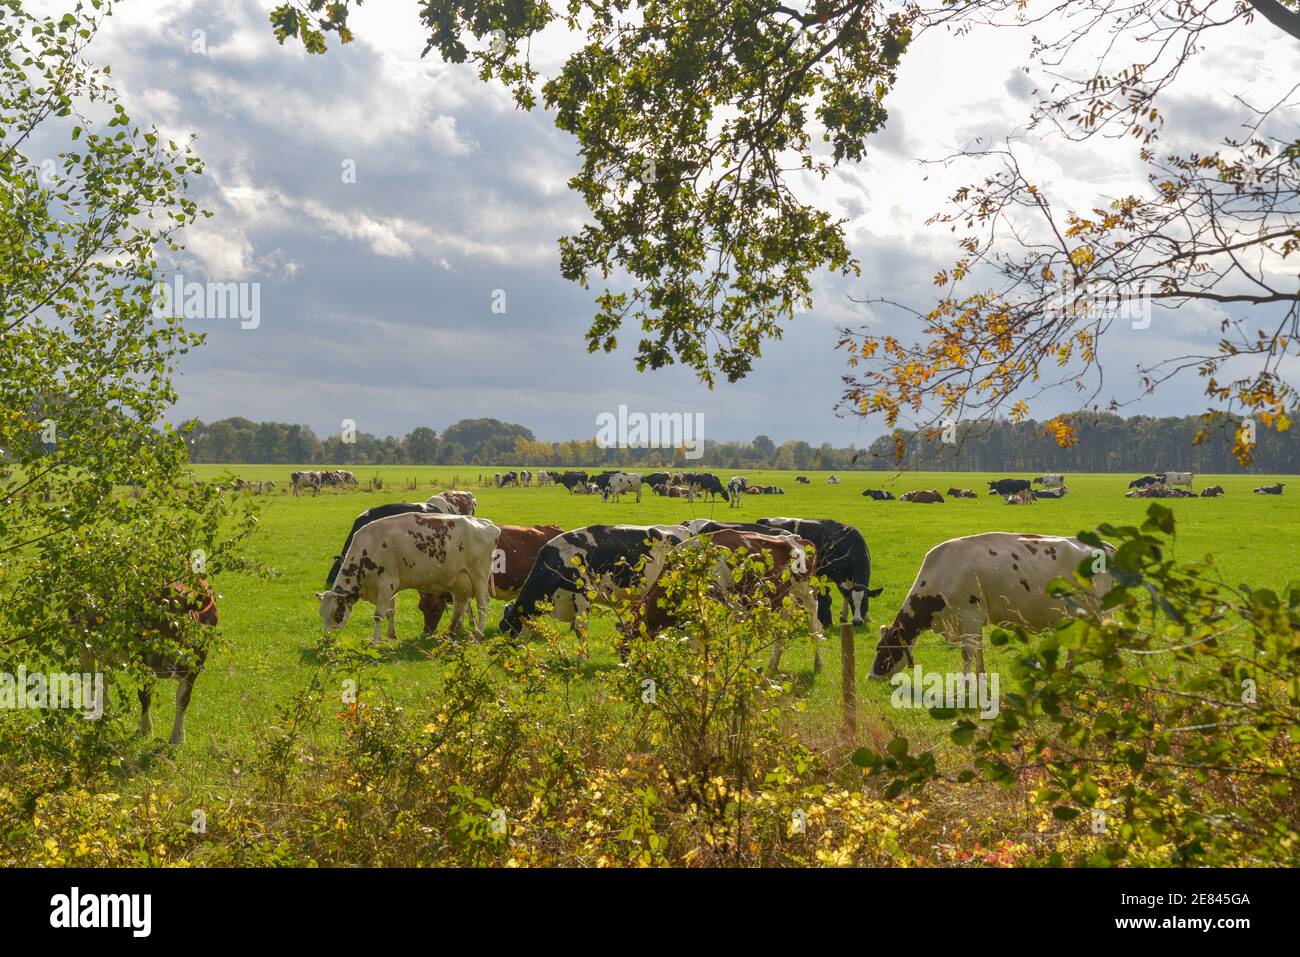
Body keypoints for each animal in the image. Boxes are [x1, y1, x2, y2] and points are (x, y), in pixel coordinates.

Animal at [317, 514, 500, 642]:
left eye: (337, 613)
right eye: (321, 613)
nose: (326, 640)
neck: (369, 546)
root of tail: (487, 524)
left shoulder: (386, 584)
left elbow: (378, 615)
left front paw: (374, 640)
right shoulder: (390, 587)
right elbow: (391, 612)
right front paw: (391, 636)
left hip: (479, 576)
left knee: (483, 604)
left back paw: (478, 634)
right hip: (459, 582)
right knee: (459, 606)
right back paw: (450, 632)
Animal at [631, 529, 819, 672]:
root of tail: (796, 538)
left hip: (805, 589)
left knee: (813, 620)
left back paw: (815, 663)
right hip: (781, 600)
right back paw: (774, 667)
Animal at [868, 533, 1115, 680]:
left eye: (884, 649)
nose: (871, 676)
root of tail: (1105, 546)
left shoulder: (970, 616)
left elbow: (968, 653)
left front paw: (967, 687)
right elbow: (977, 653)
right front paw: (981, 682)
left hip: (1099, 614)